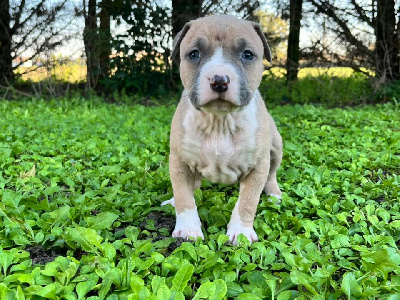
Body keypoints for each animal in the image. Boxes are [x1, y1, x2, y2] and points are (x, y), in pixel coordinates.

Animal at [162, 14, 282, 245]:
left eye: (247, 54)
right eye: (194, 54)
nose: (219, 80)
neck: (220, 122)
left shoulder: (258, 167)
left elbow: (247, 202)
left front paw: (241, 232)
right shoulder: (179, 161)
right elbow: (184, 196)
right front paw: (188, 229)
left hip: (276, 147)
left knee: (272, 175)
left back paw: (274, 195)